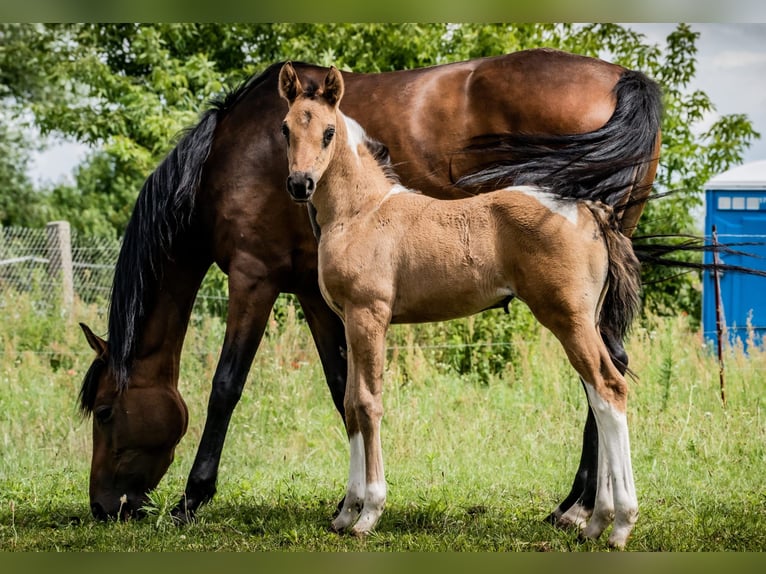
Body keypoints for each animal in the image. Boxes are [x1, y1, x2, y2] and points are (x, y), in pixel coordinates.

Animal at [78, 50, 664, 528]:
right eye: (283, 132)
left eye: (105, 411)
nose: (105, 507)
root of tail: (626, 79)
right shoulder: (318, 298)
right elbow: (346, 393)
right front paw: (348, 504)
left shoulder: (257, 277)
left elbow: (230, 386)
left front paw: (192, 500)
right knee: (606, 375)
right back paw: (581, 509)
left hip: (566, 310)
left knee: (605, 383)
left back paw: (592, 512)